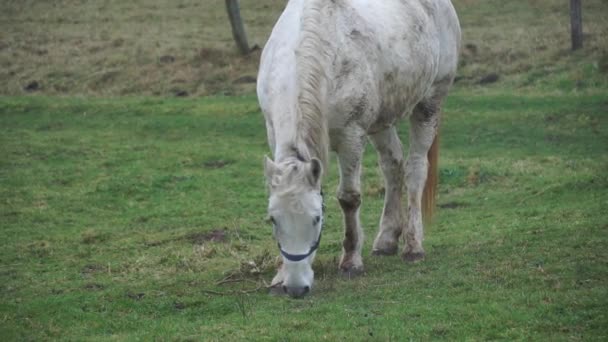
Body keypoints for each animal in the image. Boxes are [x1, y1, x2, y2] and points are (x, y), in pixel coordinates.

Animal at [256, 0, 460, 296]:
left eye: (317, 218)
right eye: (273, 220)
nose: (295, 288)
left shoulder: (351, 136)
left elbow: (349, 198)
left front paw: (351, 261)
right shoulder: (273, 132)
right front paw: (279, 276)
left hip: (429, 103)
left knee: (415, 170)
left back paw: (413, 245)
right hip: (381, 122)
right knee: (393, 165)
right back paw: (386, 240)